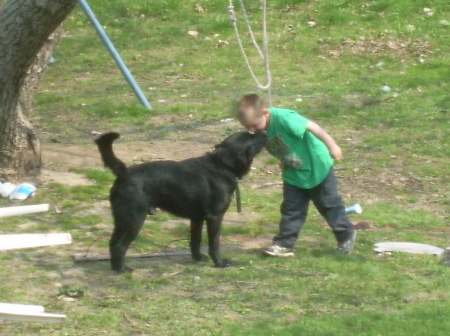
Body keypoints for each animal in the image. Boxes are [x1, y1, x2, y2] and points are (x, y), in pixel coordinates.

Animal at [93, 130, 266, 272]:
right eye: (251, 137)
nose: (264, 131)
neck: (222, 165)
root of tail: (124, 172)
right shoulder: (214, 217)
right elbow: (214, 244)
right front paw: (220, 263)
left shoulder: (197, 218)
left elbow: (195, 240)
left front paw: (197, 258)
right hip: (134, 220)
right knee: (120, 246)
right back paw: (122, 269)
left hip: (121, 219)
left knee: (112, 243)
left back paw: (115, 267)